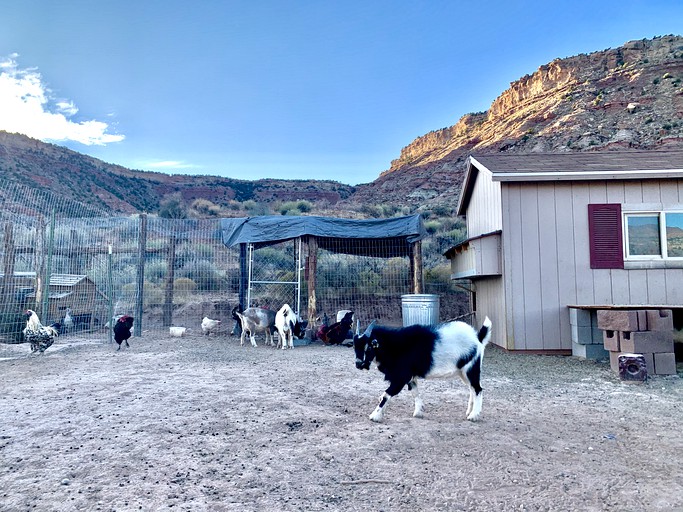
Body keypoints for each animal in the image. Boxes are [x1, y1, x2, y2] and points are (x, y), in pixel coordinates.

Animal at [352, 318, 492, 422]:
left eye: (369, 347)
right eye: (354, 347)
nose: (359, 364)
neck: (395, 346)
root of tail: (478, 338)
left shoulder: (401, 377)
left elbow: (387, 394)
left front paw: (375, 416)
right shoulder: (410, 377)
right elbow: (415, 392)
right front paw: (418, 412)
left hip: (471, 368)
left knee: (478, 389)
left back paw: (473, 416)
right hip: (463, 372)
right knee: (472, 388)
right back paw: (469, 412)